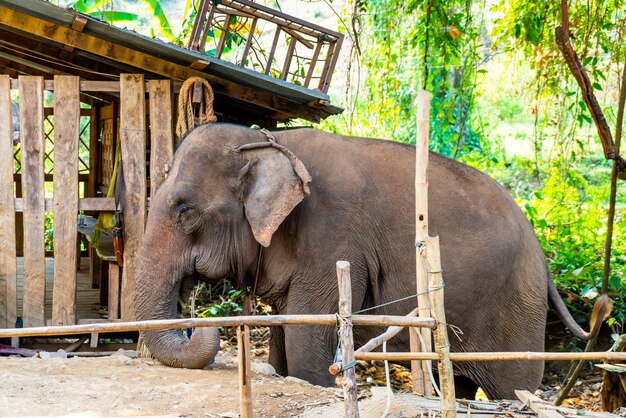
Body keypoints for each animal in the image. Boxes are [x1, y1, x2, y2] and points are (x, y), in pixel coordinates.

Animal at [135, 122, 604, 400]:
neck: (269, 140)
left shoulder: (334, 238)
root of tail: (542, 255)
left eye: (185, 210)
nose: (200, 324)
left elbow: (306, 336)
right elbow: (285, 333)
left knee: (513, 386)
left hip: (517, 311)